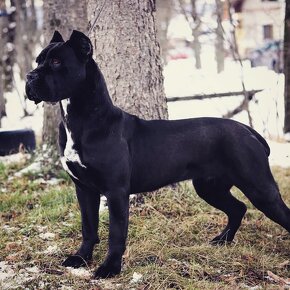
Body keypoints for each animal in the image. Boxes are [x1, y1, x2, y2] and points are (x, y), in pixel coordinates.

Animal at [26, 30, 290, 278]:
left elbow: (116, 233)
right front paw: (80, 258)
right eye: (38, 60)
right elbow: (88, 227)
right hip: (209, 187)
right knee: (238, 208)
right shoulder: (84, 188)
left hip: (259, 187)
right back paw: (221, 240)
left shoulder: (116, 191)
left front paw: (110, 268)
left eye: (57, 62)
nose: (30, 76)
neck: (83, 119)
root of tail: (248, 130)